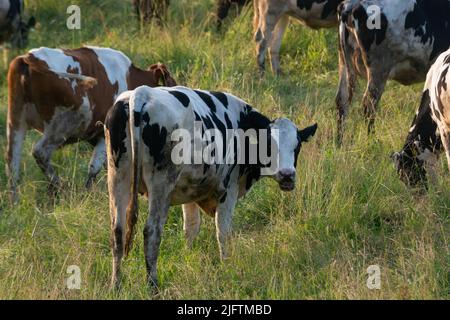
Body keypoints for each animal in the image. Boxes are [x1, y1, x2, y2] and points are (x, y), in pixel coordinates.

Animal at [7, 45, 176, 202]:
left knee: (12, 164)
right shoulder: (104, 133)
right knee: (40, 152)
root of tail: (28, 58)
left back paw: (14, 201)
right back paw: (58, 188)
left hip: (16, 122)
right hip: (65, 123)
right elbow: (95, 167)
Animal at [104, 85, 316, 288]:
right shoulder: (228, 190)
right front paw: (226, 266)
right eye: (269, 146)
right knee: (151, 232)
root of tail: (142, 93)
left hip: (117, 177)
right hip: (161, 184)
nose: (287, 175)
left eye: (297, 147)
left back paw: (116, 284)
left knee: (118, 231)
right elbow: (223, 232)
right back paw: (152, 285)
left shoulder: (188, 190)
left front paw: (187, 257)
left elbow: (190, 228)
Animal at [336, 0, 450, 142]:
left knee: (342, 102)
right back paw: (372, 141)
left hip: (344, 63)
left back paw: (339, 142)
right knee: (369, 105)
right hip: (379, 68)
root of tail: (351, 5)